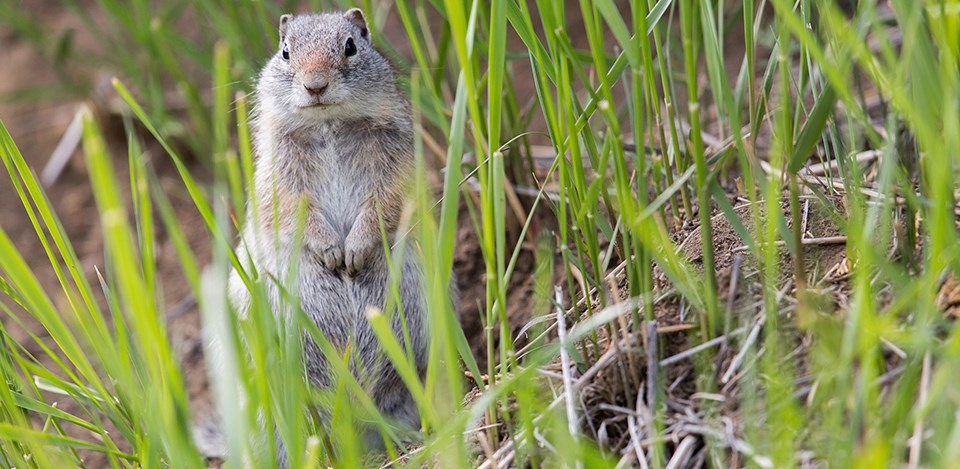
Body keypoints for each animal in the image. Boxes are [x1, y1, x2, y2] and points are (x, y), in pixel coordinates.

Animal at [221, 7, 432, 456]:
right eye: (285, 51)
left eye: (351, 45)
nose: (315, 85)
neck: (329, 123)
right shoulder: (278, 178)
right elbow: (290, 208)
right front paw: (332, 252)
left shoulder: (397, 168)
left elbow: (384, 204)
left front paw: (355, 251)